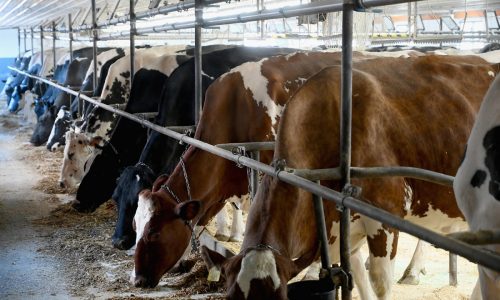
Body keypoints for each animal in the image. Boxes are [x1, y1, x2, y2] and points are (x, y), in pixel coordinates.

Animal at [201, 55, 498, 298]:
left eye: (281, 298)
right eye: (229, 297)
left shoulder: (385, 216)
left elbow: (379, 284)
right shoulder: (340, 228)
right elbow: (353, 275)